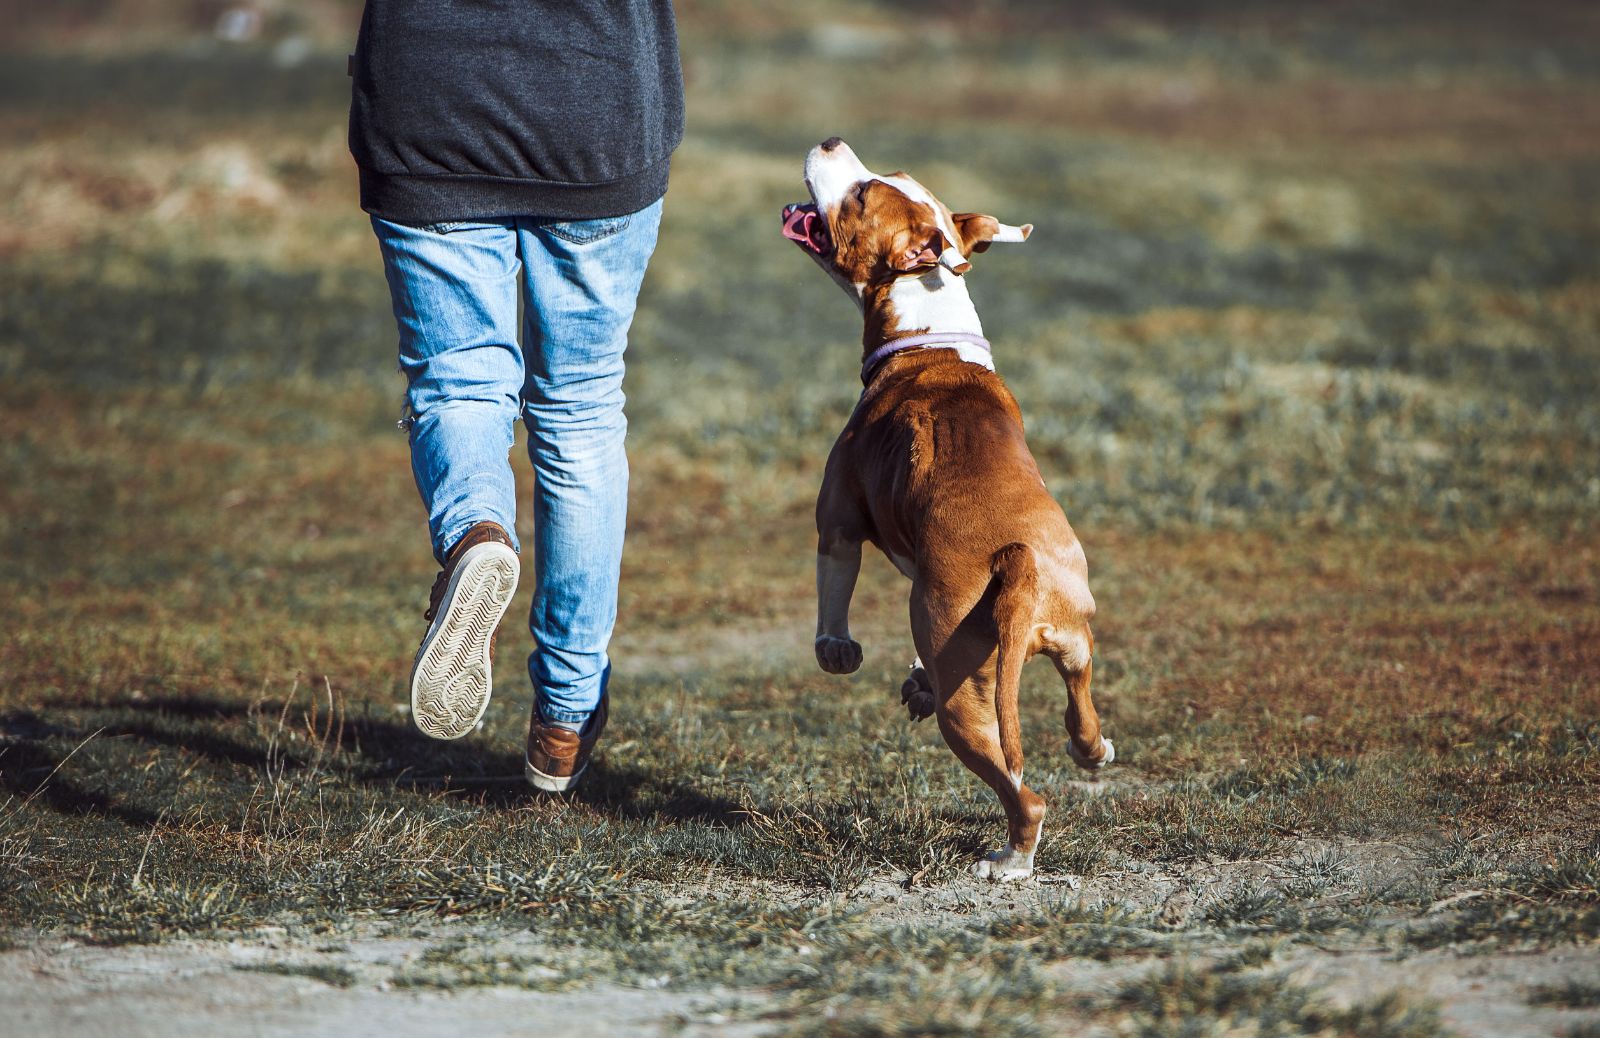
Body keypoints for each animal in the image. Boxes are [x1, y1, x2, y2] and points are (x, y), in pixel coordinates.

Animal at [777, 135, 1107, 882]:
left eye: (862, 195)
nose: (832, 140)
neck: (931, 330)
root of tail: (1018, 562)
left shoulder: (838, 516)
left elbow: (833, 584)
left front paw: (836, 650)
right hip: (1071, 632)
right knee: (1080, 699)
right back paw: (1092, 750)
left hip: (969, 706)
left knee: (1023, 791)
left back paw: (1010, 860)